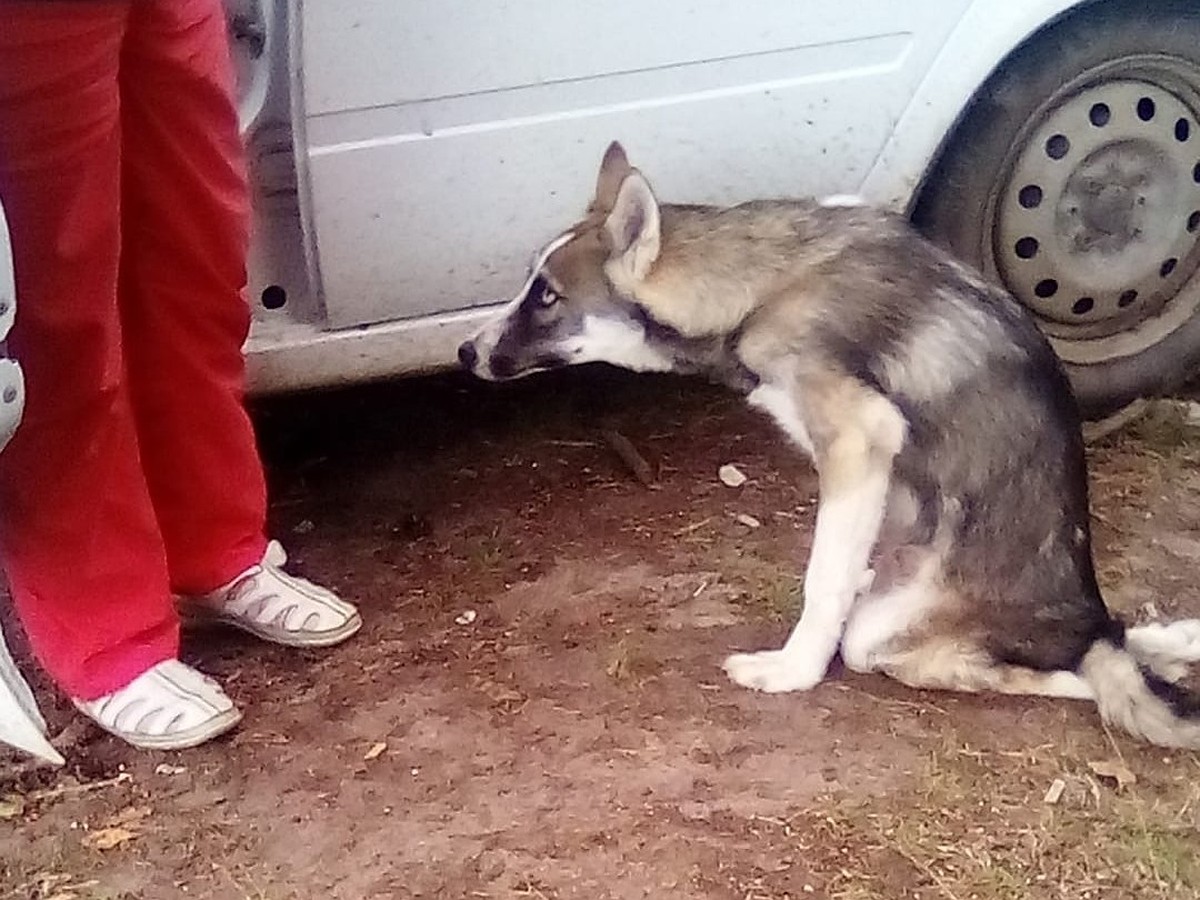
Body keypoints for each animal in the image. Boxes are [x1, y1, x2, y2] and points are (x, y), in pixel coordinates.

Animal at [456, 141, 1200, 748]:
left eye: (548, 297)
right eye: (531, 286)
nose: (465, 352)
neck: (760, 285)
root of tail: (1084, 620)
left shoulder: (859, 436)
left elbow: (823, 579)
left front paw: (793, 670)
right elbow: (839, 566)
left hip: (891, 637)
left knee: (1065, 673)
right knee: (1113, 643)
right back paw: (1170, 640)